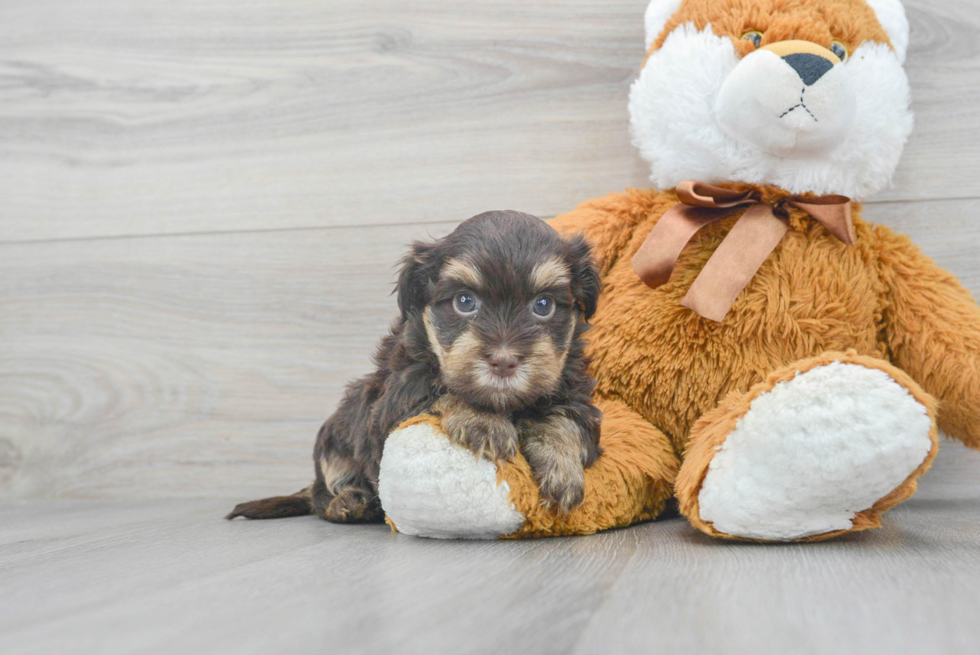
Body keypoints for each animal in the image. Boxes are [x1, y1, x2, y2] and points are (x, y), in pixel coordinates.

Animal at [227, 213, 600, 524]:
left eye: (543, 305)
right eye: (465, 302)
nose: (504, 360)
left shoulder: (573, 390)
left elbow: (565, 420)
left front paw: (562, 467)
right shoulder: (395, 400)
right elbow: (441, 390)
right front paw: (483, 421)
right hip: (336, 432)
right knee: (324, 493)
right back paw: (350, 501)